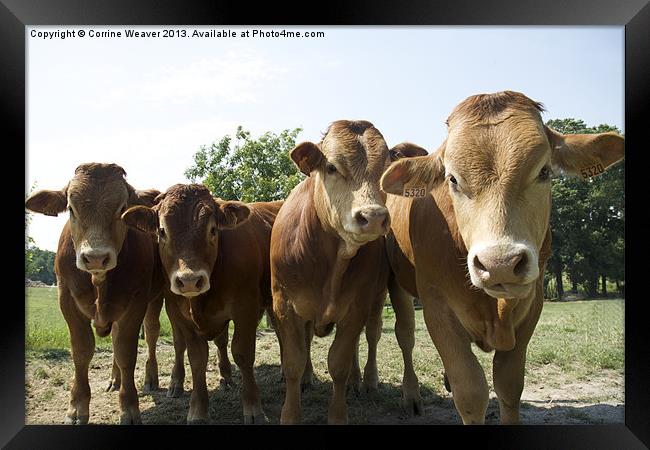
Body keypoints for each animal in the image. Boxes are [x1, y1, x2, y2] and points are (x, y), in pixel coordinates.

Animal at [23, 163, 165, 426]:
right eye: (71, 208)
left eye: (123, 208)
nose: (96, 257)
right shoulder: (66, 298)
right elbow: (82, 351)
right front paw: (77, 407)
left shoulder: (136, 301)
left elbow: (126, 352)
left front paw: (129, 407)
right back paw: (114, 379)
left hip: (155, 297)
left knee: (150, 333)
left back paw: (151, 378)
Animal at [123, 185, 280, 424]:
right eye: (162, 232)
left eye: (213, 230)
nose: (189, 280)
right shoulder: (181, 317)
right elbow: (196, 358)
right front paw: (197, 411)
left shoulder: (246, 309)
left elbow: (243, 354)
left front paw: (253, 408)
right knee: (183, 345)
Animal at [270, 118, 426, 424]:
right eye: (331, 167)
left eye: (386, 168)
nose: (373, 217)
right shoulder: (285, 304)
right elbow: (293, 362)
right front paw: (291, 412)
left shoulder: (357, 305)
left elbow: (339, 362)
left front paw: (338, 412)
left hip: (390, 291)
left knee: (396, 335)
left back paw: (387, 387)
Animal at [380, 89, 624, 424]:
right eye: (452, 179)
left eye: (544, 171)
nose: (500, 265)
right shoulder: (436, 305)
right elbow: (471, 392)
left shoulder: (532, 303)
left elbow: (509, 384)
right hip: (398, 283)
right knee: (405, 335)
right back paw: (412, 395)